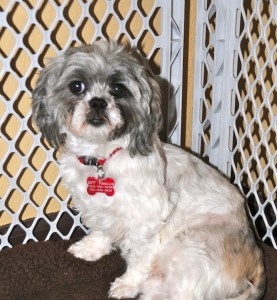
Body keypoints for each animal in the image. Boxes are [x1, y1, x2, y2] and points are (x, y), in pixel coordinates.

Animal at [31, 40, 264, 300]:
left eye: (118, 89)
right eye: (76, 86)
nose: (98, 102)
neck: (102, 157)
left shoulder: (147, 217)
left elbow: (139, 256)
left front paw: (127, 284)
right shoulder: (98, 206)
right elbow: (101, 228)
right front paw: (91, 248)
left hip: (188, 255)